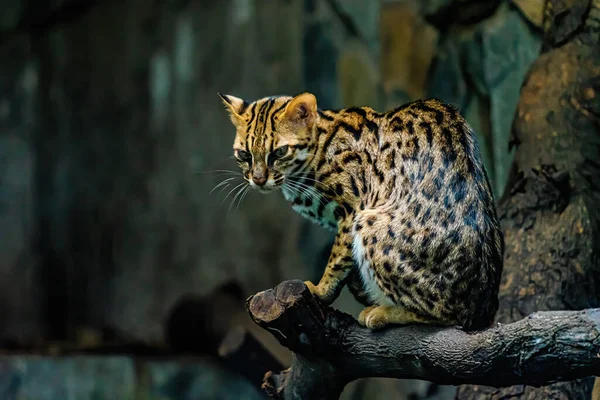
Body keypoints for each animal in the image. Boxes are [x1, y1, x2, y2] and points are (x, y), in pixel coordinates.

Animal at [218, 91, 504, 332]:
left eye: (279, 152)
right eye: (244, 155)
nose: (258, 179)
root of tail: (484, 307)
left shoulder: (354, 208)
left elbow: (336, 258)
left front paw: (321, 290)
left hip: (371, 224)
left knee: (448, 315)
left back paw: (383, 312)